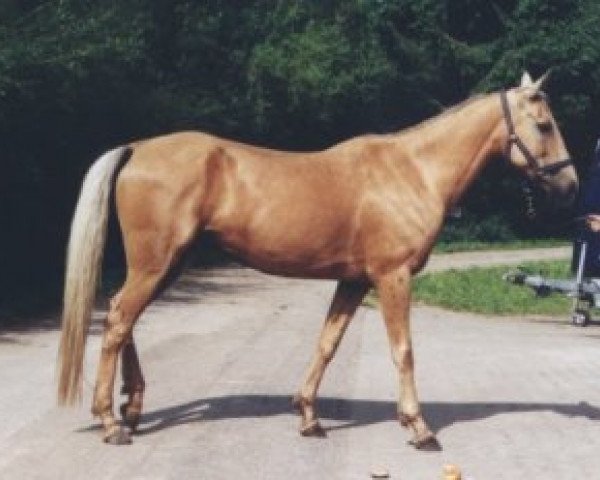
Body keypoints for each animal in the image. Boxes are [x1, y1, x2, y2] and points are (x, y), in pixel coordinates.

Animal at [58, 70, 580, 446]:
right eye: (544, 124)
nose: (570, 186)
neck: (413, 171)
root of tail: (136, 149)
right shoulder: (393, 277)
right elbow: (403, 349)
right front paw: (418, 427)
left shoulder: (354, 281)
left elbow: (328, 343)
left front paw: (309, 417)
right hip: (155, 265)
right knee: (119, 321)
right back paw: (111, 422)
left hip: (165, 265)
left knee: (124, 320)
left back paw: (131, 409)